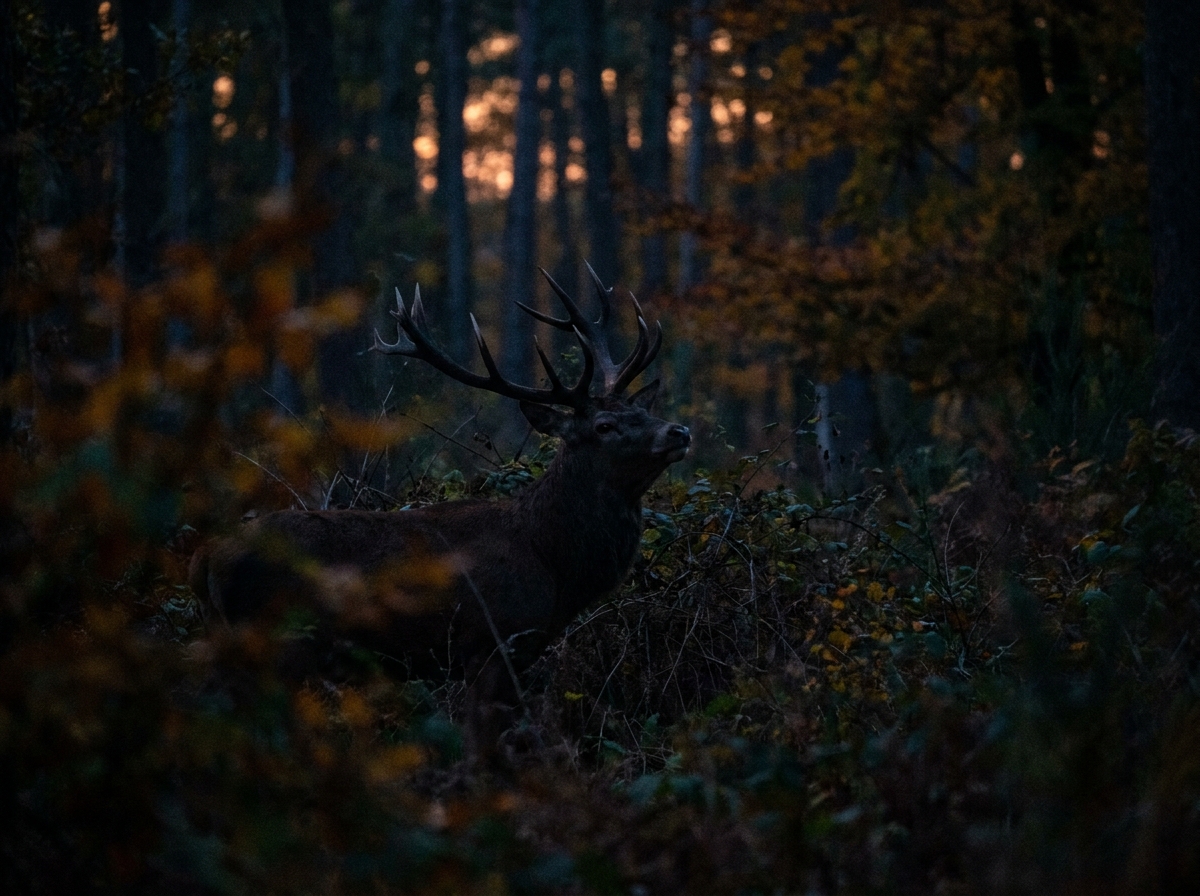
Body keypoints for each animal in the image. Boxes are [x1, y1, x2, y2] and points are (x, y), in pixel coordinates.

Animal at [189, 266, 690, 764]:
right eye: (604, 426)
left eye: (640, 409)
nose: (679, 431)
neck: (552, 561)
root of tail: (205, 558)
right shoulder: (491, 642)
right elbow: (482, 747)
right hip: (278, 643)